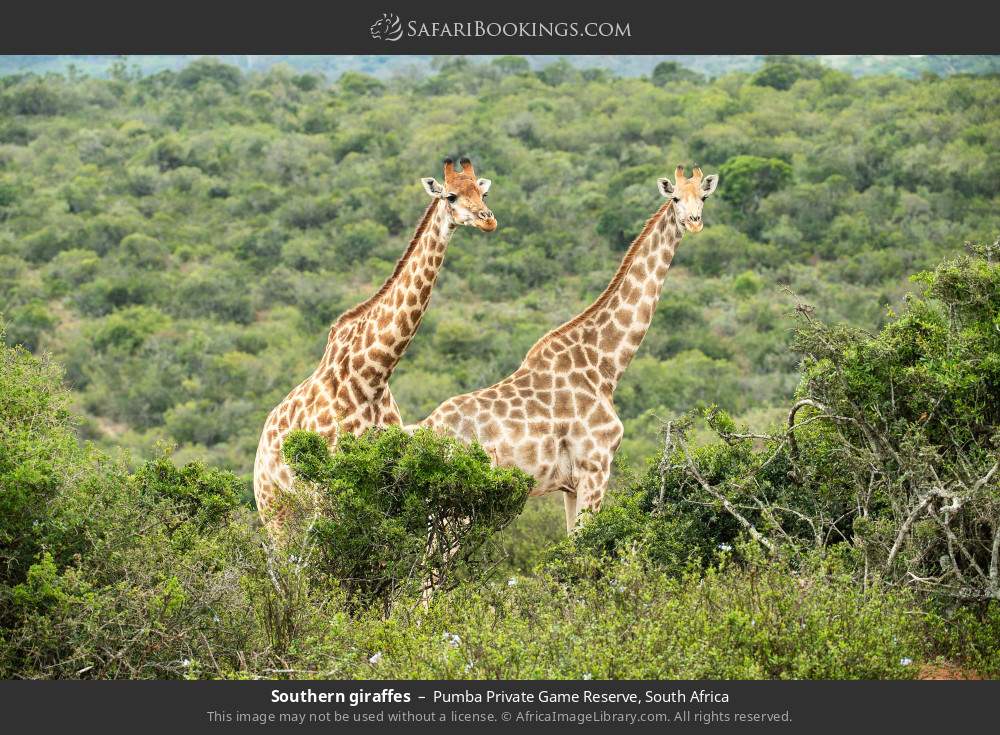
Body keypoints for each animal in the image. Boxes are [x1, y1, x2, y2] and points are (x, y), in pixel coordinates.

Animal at [254, 157, 496, 531]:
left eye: (482, 192)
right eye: (451, 196)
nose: (488, 220)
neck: (374, 374)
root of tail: (260, 449)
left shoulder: (391, 486)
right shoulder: (330, 489)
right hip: (277, 513)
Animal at [416, 165, 718, 532]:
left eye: (703, 197)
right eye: (675, 198)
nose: (694, 222)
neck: (605, 364)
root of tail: (425, 433)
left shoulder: (569, 485)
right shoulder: (595, 466)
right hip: (460, 503)